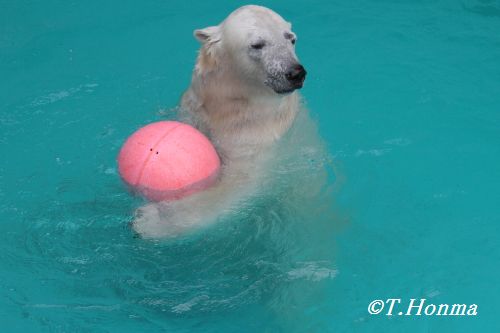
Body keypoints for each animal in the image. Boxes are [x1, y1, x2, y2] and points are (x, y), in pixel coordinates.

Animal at [133, 5, 312, 239]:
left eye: (291, 39)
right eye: (257, 44)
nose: (295, 72)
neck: (235, 105)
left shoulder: (255, 136)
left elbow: (240, 183)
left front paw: (150, 220)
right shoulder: (195, 110)